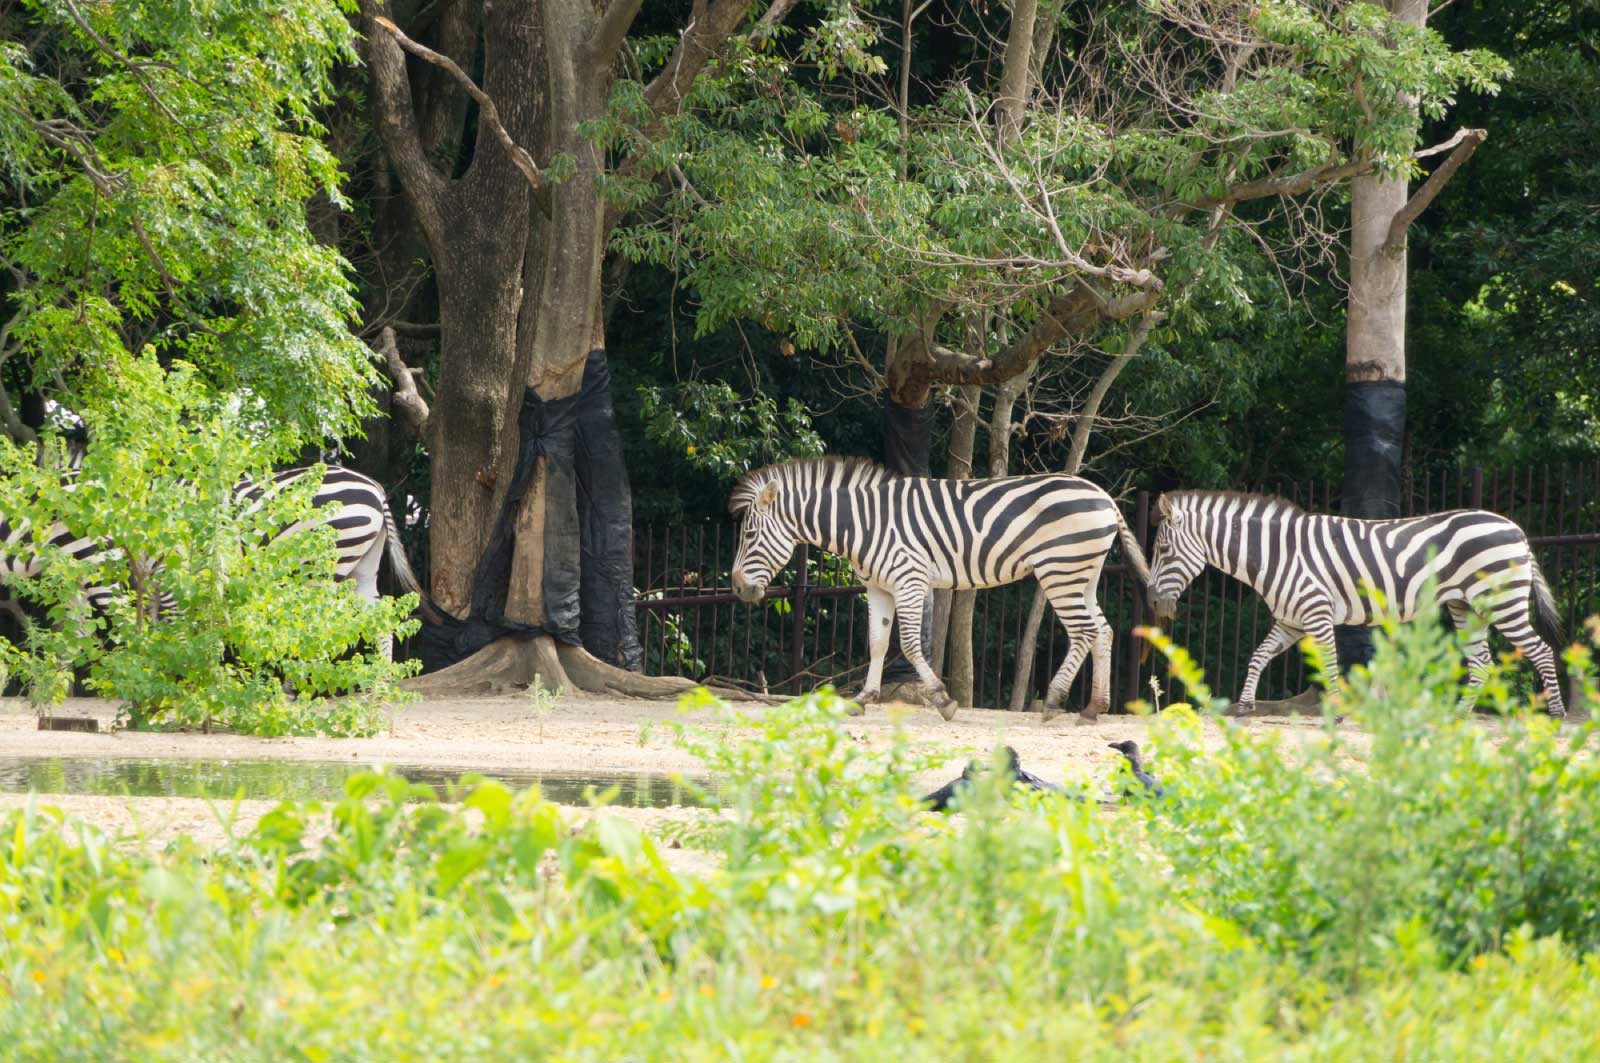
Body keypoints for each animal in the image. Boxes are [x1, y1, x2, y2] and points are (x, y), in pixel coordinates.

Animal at [726, 457, 1152, 723]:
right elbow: (877, 643)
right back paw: (1094, 708)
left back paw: (1053, 702)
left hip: (1060, 569)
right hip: (1083, 573)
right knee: (1104, 631)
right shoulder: (878, 588)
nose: (738, 588)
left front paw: (944, 701)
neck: (861, 523)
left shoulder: (909, 579)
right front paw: (863, 699)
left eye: (749, 535)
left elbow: (911, 644)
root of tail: (1106, 498)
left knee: (1085, 631)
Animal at [1145, 489, 1568, 714]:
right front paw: (1245, 705)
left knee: (1542, 652)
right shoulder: (1290, 620)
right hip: (1466, 607)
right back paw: (1459, 716)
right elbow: (1258, 656)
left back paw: (1557, 714)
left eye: (1163, 551)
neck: (1276, 555)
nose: (1152, 603)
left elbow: (1331, 665)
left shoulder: (1317, 613)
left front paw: (1336, 712)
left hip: (1502, 602)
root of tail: (1515, 529)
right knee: (1482, 663)